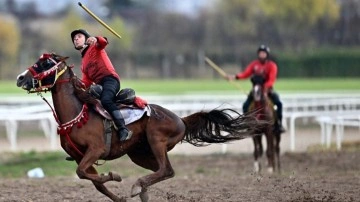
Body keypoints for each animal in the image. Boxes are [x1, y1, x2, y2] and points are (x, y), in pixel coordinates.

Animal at [15, 52, 266, 201]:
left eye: (45, 63)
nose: (19, 78)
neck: (78, 114)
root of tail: (181, 119)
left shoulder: (95, 150)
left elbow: (87, 175)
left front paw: (115, 175)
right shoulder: (79, 157)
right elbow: (90, 179)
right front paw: (116, 193)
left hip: (157, 140)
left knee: (166, 170)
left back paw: (138, 185)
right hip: (139, 153)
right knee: (161, 171)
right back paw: (143, 190)